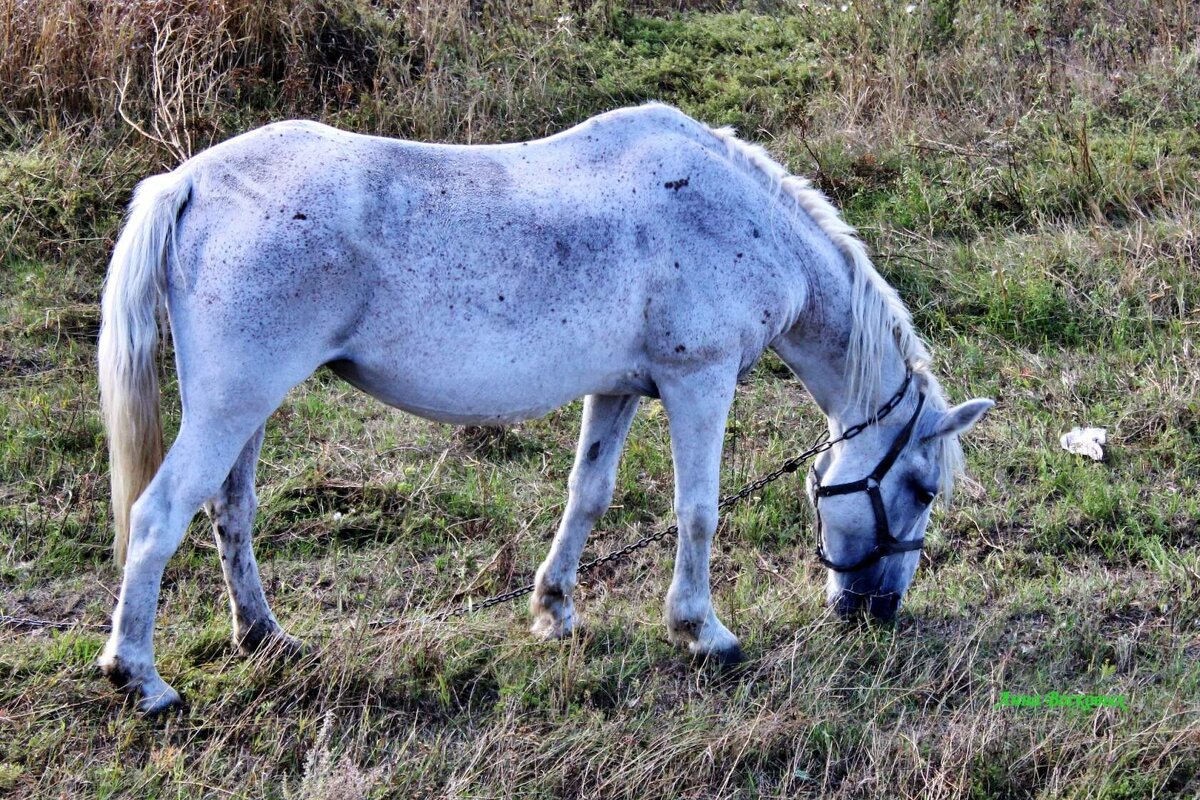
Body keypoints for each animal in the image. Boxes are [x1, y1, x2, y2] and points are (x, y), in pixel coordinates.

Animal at [96, 103, 993, 710]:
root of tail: (190, 180)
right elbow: (698, 510)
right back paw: (140, 678)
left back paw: (266, 639)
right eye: (922, 489)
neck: (730, 214)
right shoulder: (699, 380)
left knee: (231, 512)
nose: (877, 612)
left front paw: (555, 609)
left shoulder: (621, 388)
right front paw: (701, 631)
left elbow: (587, 495)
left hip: (246, 410)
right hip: (232, 404)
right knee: (159, 515)